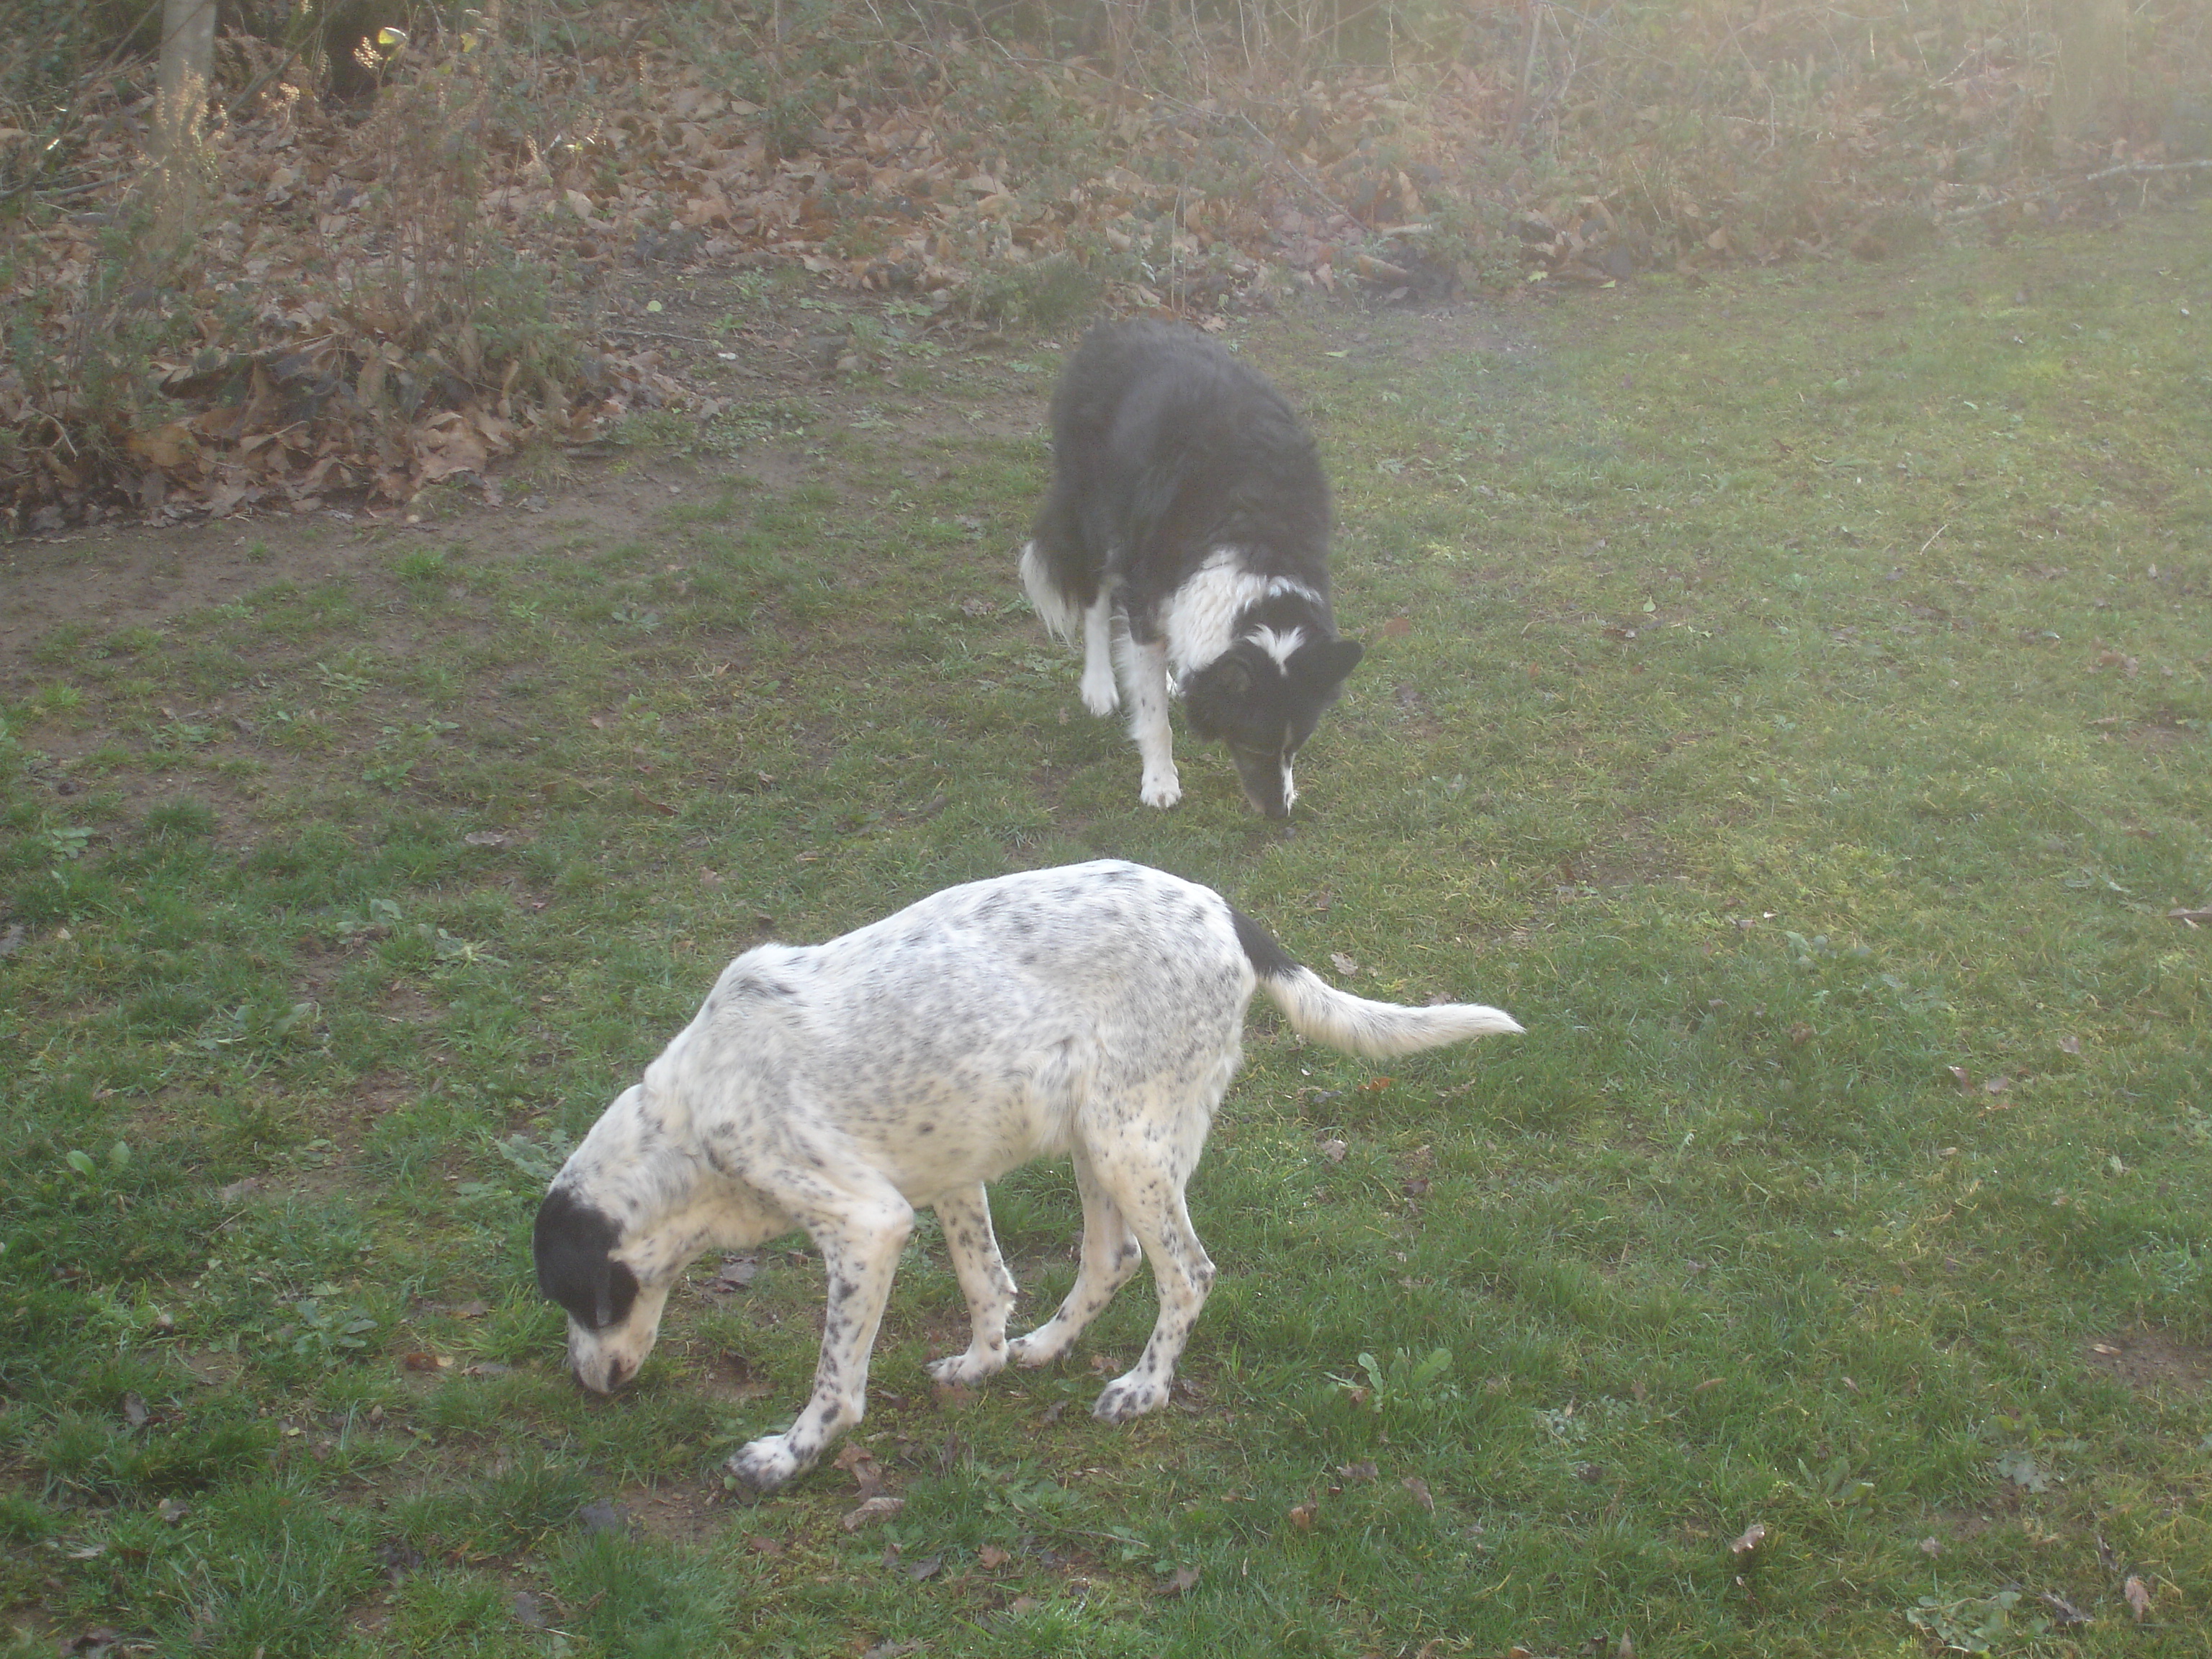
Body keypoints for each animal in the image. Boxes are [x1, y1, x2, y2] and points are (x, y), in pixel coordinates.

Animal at [533, 860, 1519, 1496]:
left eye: (579, 1301)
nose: (584, 1389)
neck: (686, 1125)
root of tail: (1224, 911)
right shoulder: (947, 1178)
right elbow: (986, 1282)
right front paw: (986, 1363)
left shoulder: (865, 1224)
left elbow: (836, 1379)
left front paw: (788, 1456)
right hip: (1095, 1136)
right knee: (1114, 1260)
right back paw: (1047, 1348)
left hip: (1128, 1142)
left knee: (1188, 1273)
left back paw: (1143, 1390)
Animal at [1019, 321, 1362, 818]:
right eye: (1253, 745)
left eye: (1296, 747)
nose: (1280, 815)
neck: (1255, 538)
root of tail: (1113, 329)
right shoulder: (1147, 583)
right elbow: (1154, 716)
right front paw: (1160, 782)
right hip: (1096, 512)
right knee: (1095, 602)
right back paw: (1099, 686)